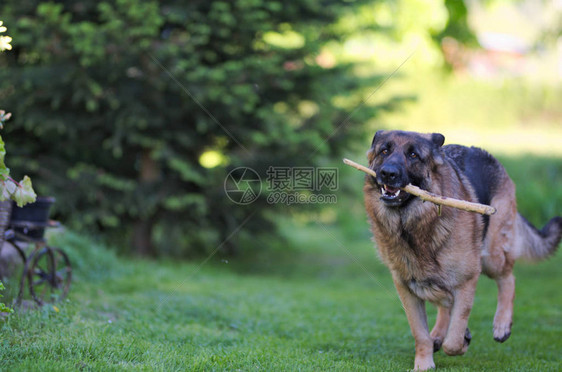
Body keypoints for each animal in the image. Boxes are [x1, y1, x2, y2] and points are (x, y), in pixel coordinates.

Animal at [360, 130, 556, 370]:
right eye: (384, 151)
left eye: (413, 155)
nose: (388, 173)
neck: (412, 225)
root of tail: (480, 151)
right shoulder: (407, 289)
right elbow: (420, 334)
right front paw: (423, 364)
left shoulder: (466, 282)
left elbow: (453, 340)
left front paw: (461, 342)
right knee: (445, 303)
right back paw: (438, 333)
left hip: (491, 256)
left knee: (508, 279)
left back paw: (501, 325)